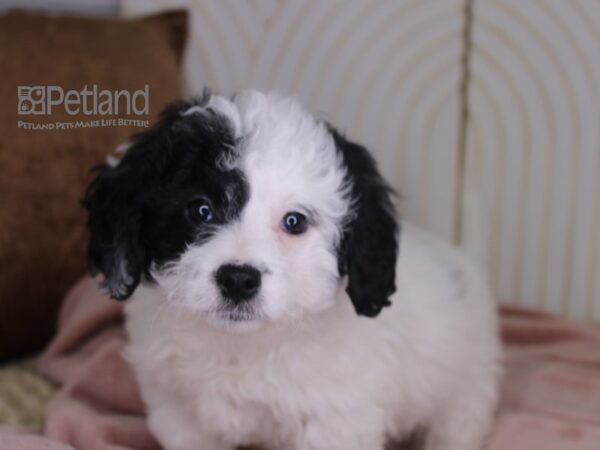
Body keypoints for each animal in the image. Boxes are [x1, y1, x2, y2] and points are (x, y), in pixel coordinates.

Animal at [82, 90, 500, 450]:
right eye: (200, 209)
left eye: (294, 221)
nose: (238, 279)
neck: (240, 348)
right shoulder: (178, 411)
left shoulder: (335, 422)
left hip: (468, 386)